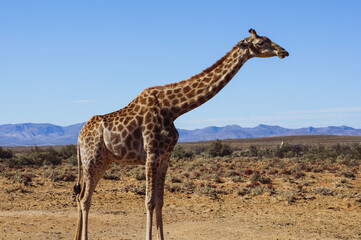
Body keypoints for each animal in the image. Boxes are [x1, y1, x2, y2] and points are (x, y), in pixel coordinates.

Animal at [74, 29, 288, 239]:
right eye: (260, 42)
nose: (283, 51)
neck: (173, 109)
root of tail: (78, 138)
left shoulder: (166, 156)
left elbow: (160, 201)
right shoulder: (152, 154)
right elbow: (149, 202)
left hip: (104, 161)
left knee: (82, 195)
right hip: (92, 159)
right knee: (85, 198)